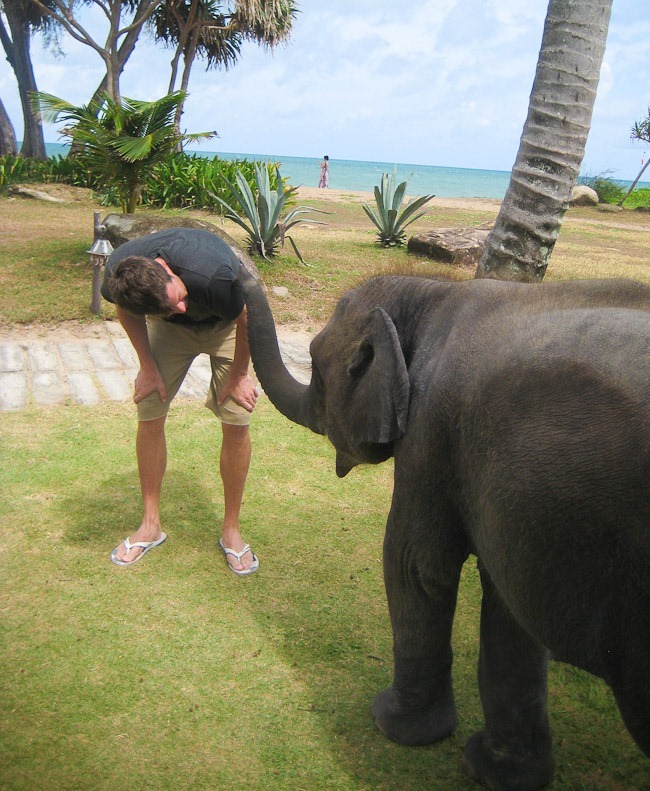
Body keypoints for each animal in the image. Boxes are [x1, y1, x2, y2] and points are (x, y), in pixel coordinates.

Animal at [239, 267, 650, 791]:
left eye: (315, 363)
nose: (240, 271)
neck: (430, 292)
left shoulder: (430, 431)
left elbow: (415, 566)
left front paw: (392, 725)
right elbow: (506, 610)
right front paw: (496, 773)